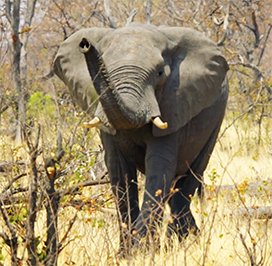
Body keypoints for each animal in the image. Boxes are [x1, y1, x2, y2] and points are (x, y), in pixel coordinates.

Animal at [53, 22, 230, 254]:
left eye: (160, 73)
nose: (85, 44)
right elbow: (119, 172)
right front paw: (126, 254)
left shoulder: (174, 104)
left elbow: (159, 169)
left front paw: (142, 251)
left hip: (215, 119)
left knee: (188, 182)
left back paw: (183, 244)